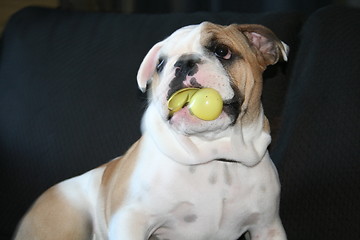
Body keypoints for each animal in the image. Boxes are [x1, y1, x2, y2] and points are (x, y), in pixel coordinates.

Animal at [14, 22, 290, 240]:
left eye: (222, 51)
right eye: (160, 64)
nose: (183, 62)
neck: (214, 155)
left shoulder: (268, 227)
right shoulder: (131, 220)